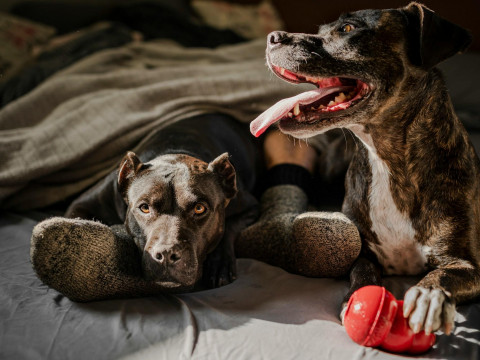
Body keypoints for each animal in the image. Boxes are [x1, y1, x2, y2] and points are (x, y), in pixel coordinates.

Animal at [66, 114, 258, 290]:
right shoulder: (82, 203)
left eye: (199, 208)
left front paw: (220, 265)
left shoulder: (250, 206)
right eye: (144, 208)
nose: (166, 254)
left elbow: (229, 227)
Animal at [249, 1, 478, 336]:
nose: (272, 37)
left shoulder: (466, 264)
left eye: (348, 29)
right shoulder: (363, 252)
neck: (386, 161)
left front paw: (427, 296)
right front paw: (357, 298)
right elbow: (363, 273)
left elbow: (443, 275)